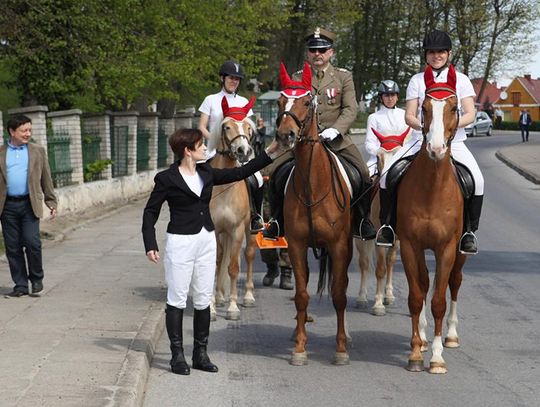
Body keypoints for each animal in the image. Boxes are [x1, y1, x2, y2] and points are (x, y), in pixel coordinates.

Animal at [275, 62, 353, 366]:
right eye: (280, 101)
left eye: (307, 102)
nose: (285, 135)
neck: (313, 183)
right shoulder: (296, 245)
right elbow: (301, 294)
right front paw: (299, 347)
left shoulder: (340, 245)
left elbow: (340, 295)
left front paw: (340, 349)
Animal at [356, 127, 410, 315]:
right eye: (379, 157)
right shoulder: (379, 240)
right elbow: (380, 269)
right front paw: (378, 304)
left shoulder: (398, 239)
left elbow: (391, 263)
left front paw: (388, 296)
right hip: (361, 238)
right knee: (364, 264)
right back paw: (362, 298)